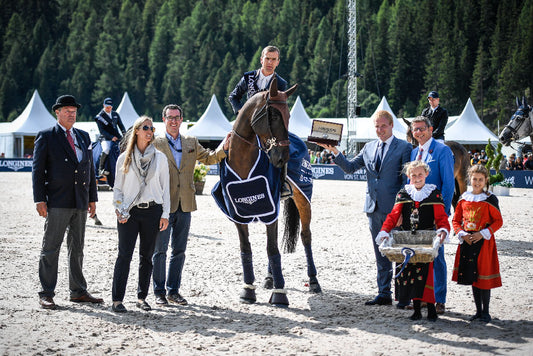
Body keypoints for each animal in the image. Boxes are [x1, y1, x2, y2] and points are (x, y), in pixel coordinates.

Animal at [216, 77, 320, 306]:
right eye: (273, 115)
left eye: (289, 115)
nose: (283, 157)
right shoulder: (239, 212)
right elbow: (247, 248)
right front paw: (248, 290)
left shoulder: (270, 207)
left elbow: (272, 249)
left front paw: (280, 294)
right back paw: (269, 278)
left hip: (303, 199)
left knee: (306, 236)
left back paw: (314, 281)